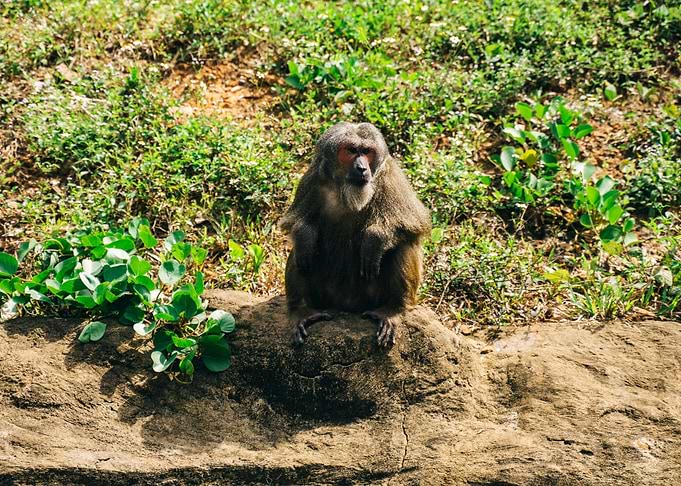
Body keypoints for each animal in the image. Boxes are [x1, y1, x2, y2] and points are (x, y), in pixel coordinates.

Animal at [280, 122, 431, 347]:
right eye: (351, 151)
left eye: (367, 152)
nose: (362, 168)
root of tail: (347, 307)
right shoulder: (312, 177)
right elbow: (294, 223)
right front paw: (306, 236)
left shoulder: (391, 176)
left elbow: (415, 223)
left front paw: (374, 240)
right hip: (325, 297)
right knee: (300, 253)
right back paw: (301, 310)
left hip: (370, 297)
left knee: (403, 244)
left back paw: (393, 309)